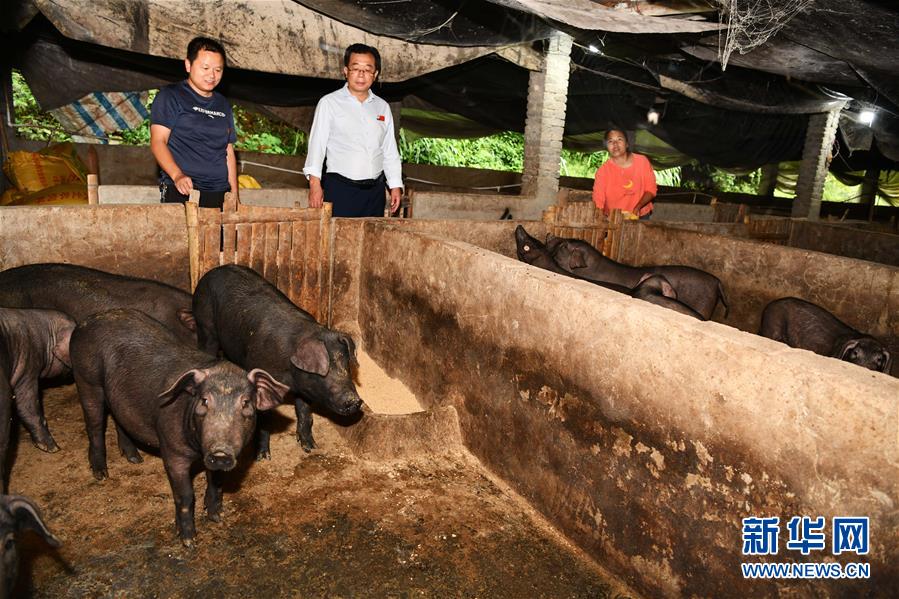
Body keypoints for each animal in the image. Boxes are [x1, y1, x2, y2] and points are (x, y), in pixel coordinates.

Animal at [71, 312, 288, 548]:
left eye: (246, 403)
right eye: (204, 401)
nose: (221, 452)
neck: (198, 451)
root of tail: (85, 323)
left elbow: (216, 481)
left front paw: (216, 517)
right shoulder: (172, 451)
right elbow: (185, 496)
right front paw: (189, 541)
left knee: (118, 418)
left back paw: (135, 459)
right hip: (86, 379)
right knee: (94, 425)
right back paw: (101, 474)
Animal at [194, 264, 366, 458]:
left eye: (346, 366)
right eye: (325, 371)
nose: (355, 400)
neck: (290, 375)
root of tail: (212, 271)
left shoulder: (304, 389)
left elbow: (305, 413)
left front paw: (311, 447)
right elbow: (265, 422)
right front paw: (263, 457)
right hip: (204, 324)